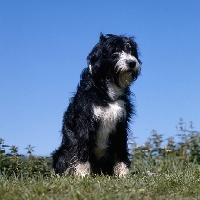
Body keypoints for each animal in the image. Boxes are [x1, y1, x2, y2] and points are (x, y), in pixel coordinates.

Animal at [52, 33, 141, 177]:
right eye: (114, 51)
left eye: (131, 51)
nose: (132, 63)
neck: (108, 92)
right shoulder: (85, 123)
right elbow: (82, 150)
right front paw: (82, 175)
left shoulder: (121, 125)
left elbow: (121, 150)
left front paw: (123, 174)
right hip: (61, 153)